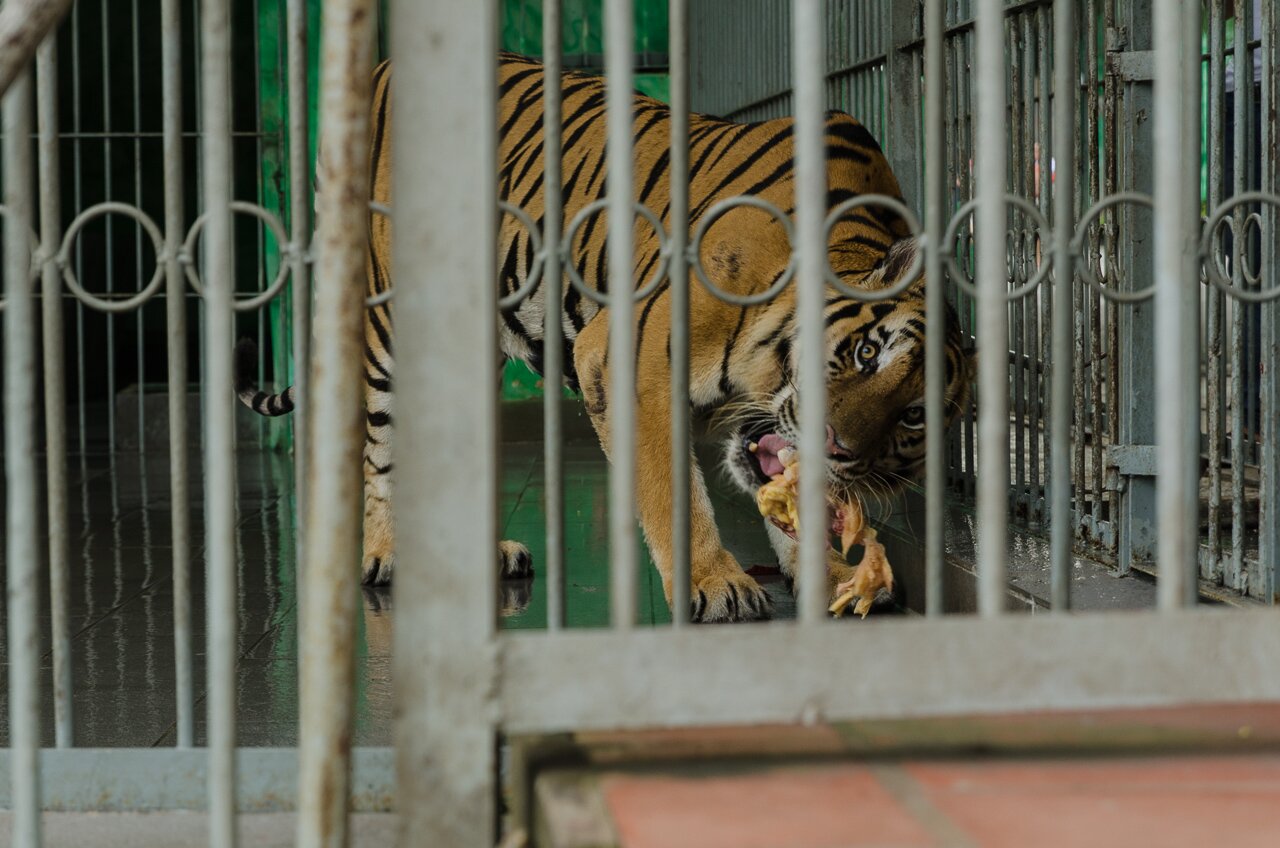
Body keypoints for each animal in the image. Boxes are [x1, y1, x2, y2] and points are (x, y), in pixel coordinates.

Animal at [232, 53, 967, 625]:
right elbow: (673, 487)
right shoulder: (629, 359)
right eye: (867, 354)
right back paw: (386, 554)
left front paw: (830, 576)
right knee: (379, 450)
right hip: (388, 325)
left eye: (914, 416)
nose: (840, 448)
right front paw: (715, 584)